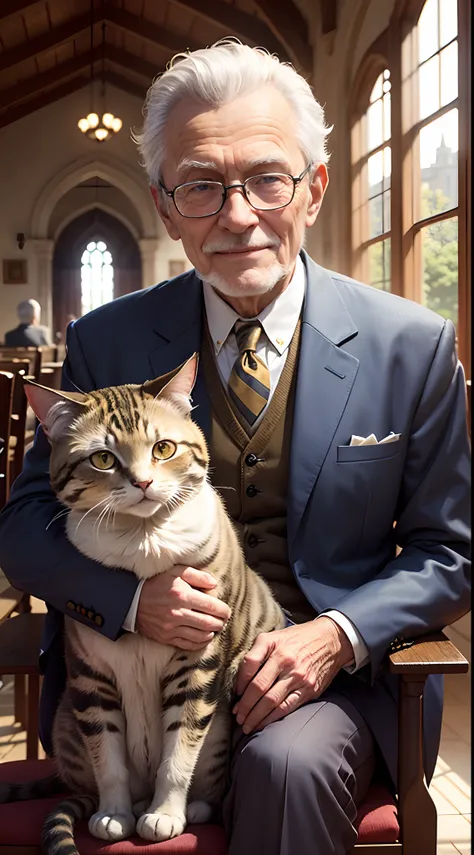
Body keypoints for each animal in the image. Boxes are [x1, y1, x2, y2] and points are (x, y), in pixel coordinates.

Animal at [0, 352, 286, 848]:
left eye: (164, 448)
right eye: (102, 458)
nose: (144, 482)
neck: (144, 536)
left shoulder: (199, 661)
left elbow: (180, 749)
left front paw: (166, 814)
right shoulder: (91, 675)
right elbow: (108, 757)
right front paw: (114, 814)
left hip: (222, 726)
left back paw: (188, 807)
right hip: (65, 719)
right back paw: (126, 807)